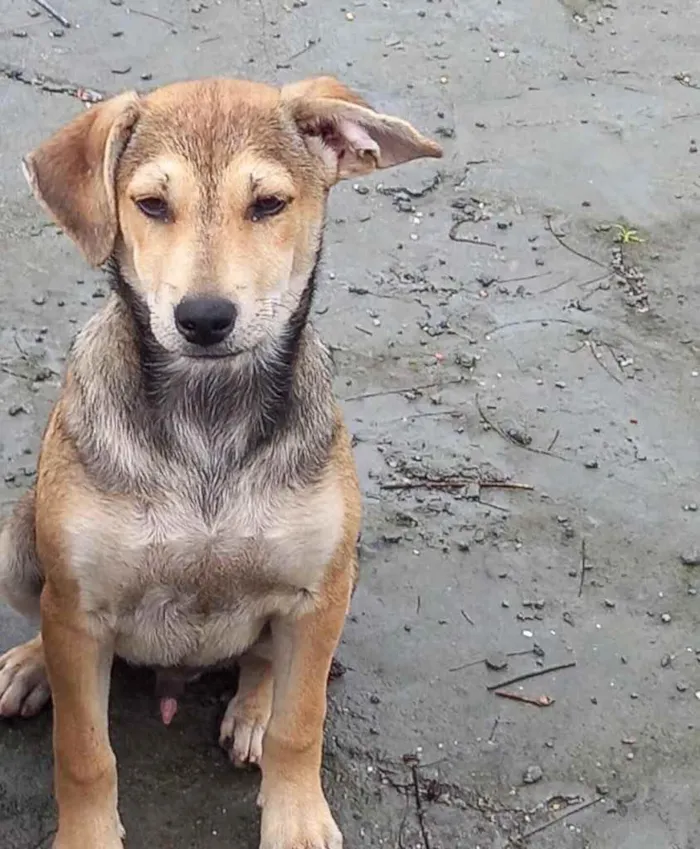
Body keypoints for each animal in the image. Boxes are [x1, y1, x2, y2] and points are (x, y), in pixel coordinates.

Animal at [0, 76, 440, 844]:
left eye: (268, 205)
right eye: (151, 204)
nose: (204, 319)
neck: (209, 417)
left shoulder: (318, 594)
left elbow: (303, 724)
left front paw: (296, 818)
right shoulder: (79, 606)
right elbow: (83, 751)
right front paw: (86, 832)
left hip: (336, 574)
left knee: (264, 661)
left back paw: (254, 709)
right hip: (17, 543)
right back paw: (32, 666)